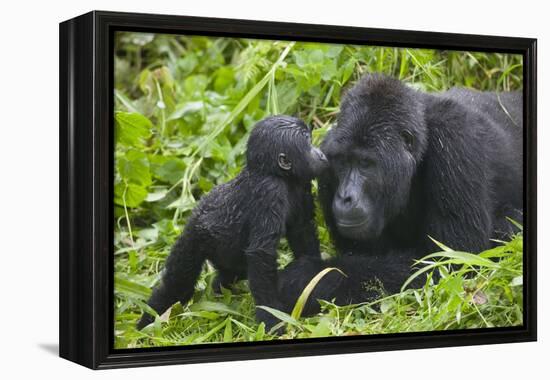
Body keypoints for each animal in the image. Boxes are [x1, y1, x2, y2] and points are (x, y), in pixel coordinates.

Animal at [139, 115, 328, 330]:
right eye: (308, 142)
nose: (320, 153)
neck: (275, 173)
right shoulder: (269, 192)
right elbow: (261, 254)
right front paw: (271, 318)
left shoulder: (301, 183)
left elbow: (302, 231)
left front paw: (314, 276)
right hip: (193, 238)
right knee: (178, 283)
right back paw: (148, 321)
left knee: (231, 272)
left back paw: (219, 288)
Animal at [280, 74, 528, 314]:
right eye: (343, 162)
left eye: (365, 164)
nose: (345, 197)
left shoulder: (456, 140)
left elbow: (450, 261)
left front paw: (307, 277)